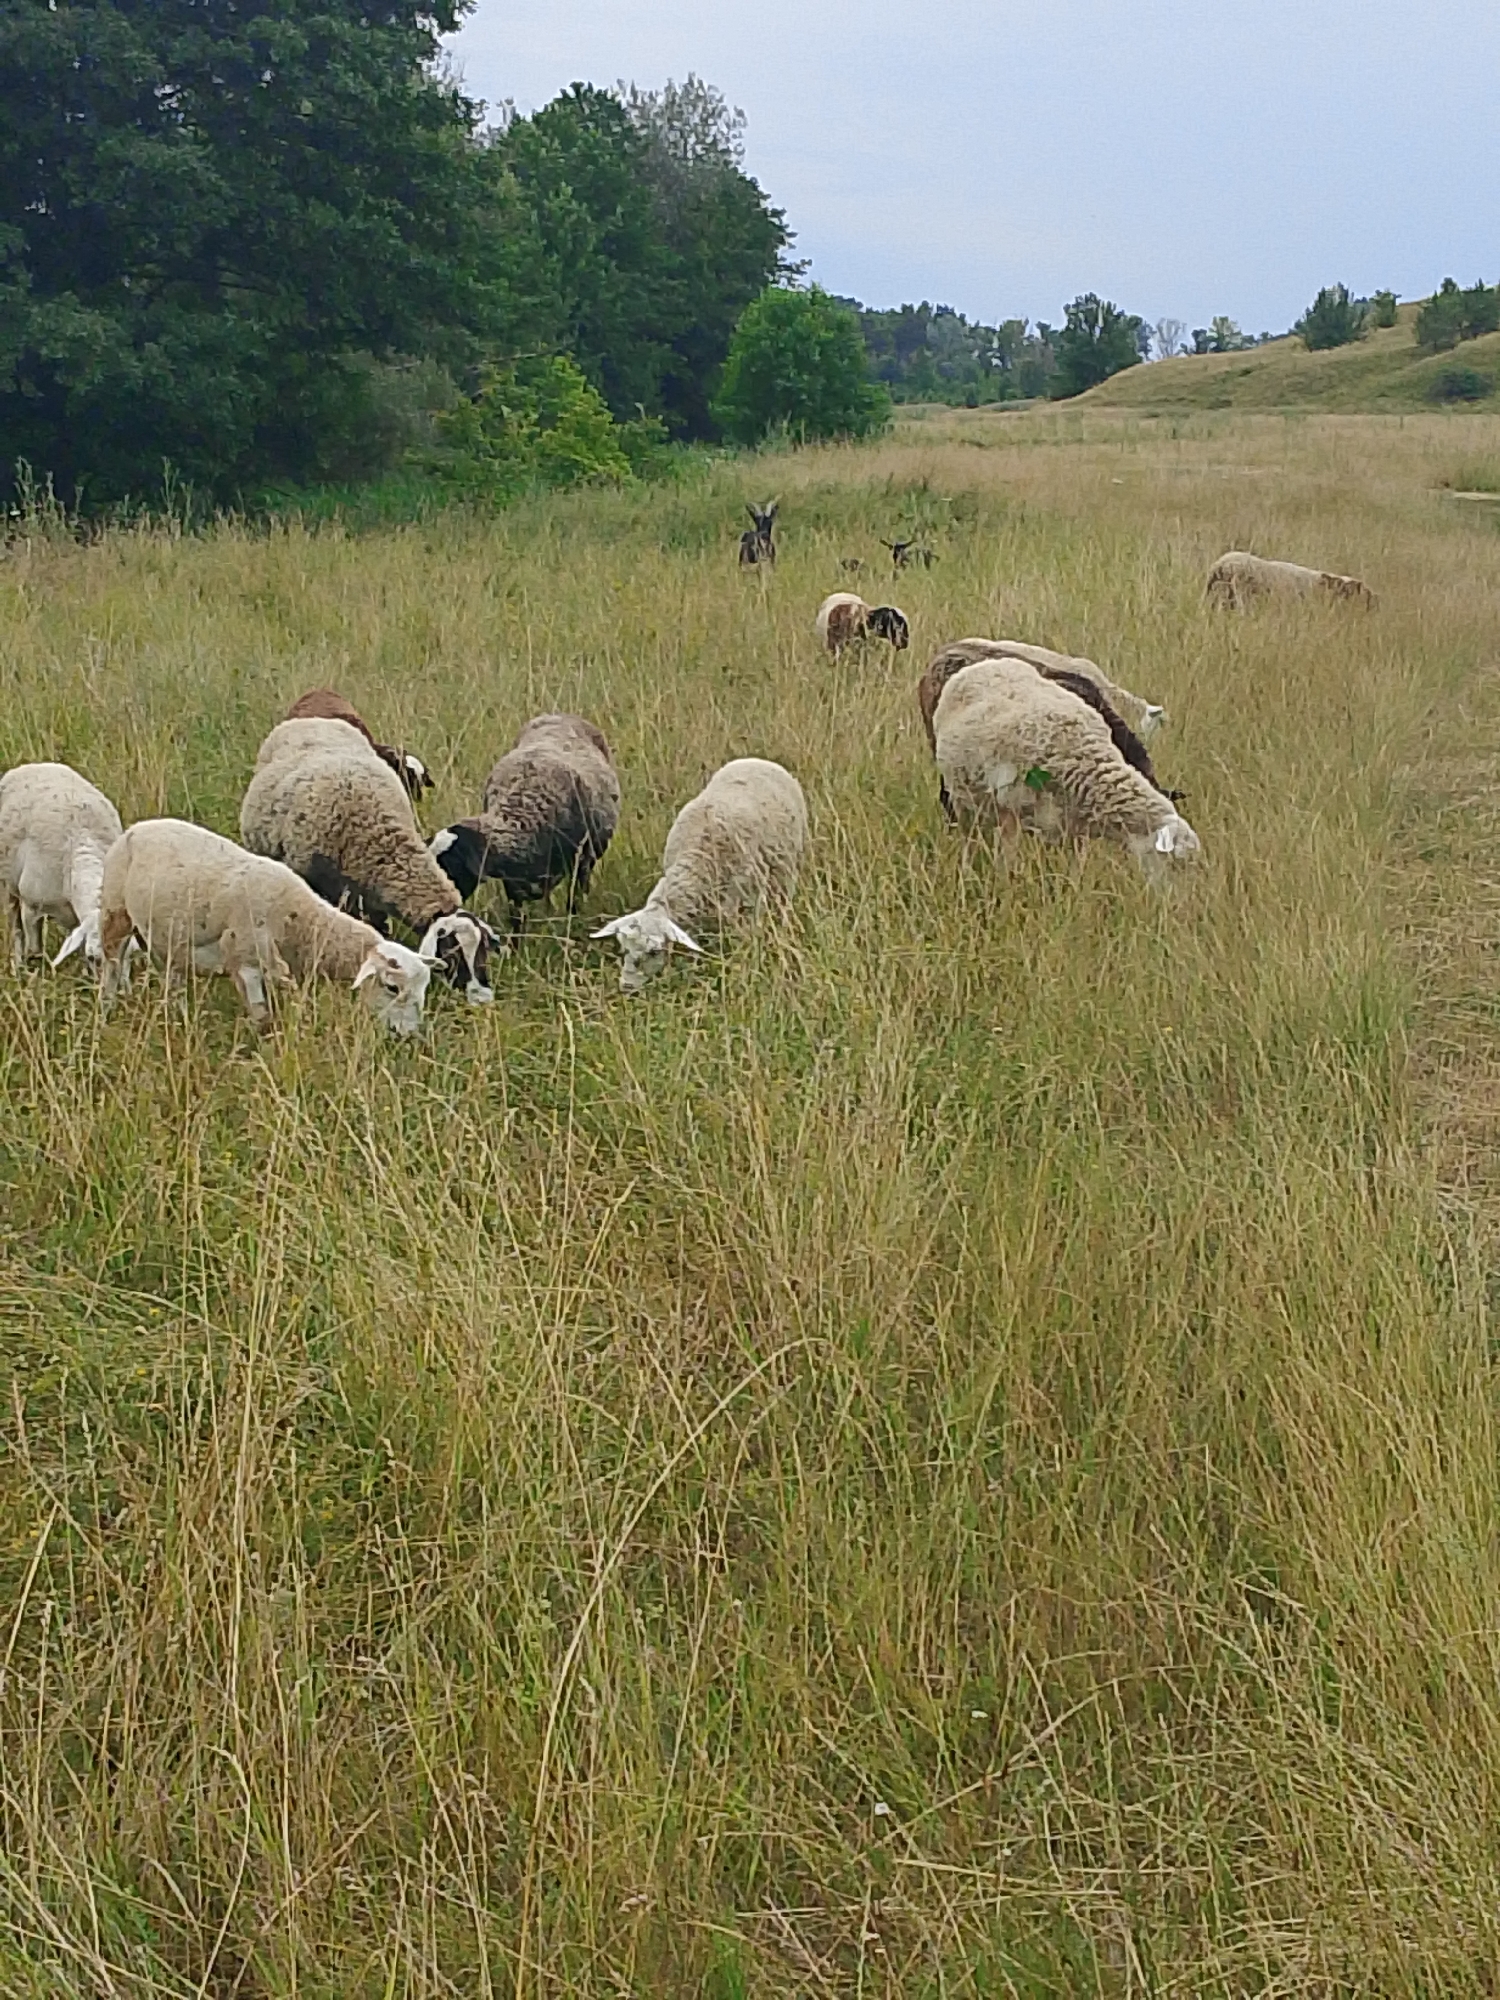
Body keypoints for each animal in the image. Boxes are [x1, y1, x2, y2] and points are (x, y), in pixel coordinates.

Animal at [1, 761, 124, 970]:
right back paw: (18, 967)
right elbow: (34, 950)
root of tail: (35, 765)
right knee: (15, 928)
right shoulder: (32, 907)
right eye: (94, 957)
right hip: (8, 886)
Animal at [95, 818, 463, 1034]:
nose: (409, 1035)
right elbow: (262, 1018)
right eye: (391, 987)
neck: (300, 920)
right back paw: (106, 1008)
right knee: (111, 965)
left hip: (171, 936)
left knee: (172, 974)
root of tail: (139, 827)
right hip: (115, 912)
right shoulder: (246, 960)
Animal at [430, 714, 620, 931]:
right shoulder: (513, 881)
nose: (436, 913)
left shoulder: (581, 861)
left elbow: (574, 903)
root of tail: (558, 714)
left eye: (451, 867)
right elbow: (517, 918)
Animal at [592, 758, 807, 994]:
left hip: (788, 869)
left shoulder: (746, 902)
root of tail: (757, 760)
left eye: (653, 952)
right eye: (624, 949)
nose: (627, 986)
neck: (697, 860)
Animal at [932, 658, 1200, 876]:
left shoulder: (1073, 826)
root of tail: (985, 665)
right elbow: (1006, 861)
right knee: (969, 838)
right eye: (1175, 863)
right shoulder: (1011, 812)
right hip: (963, 797)